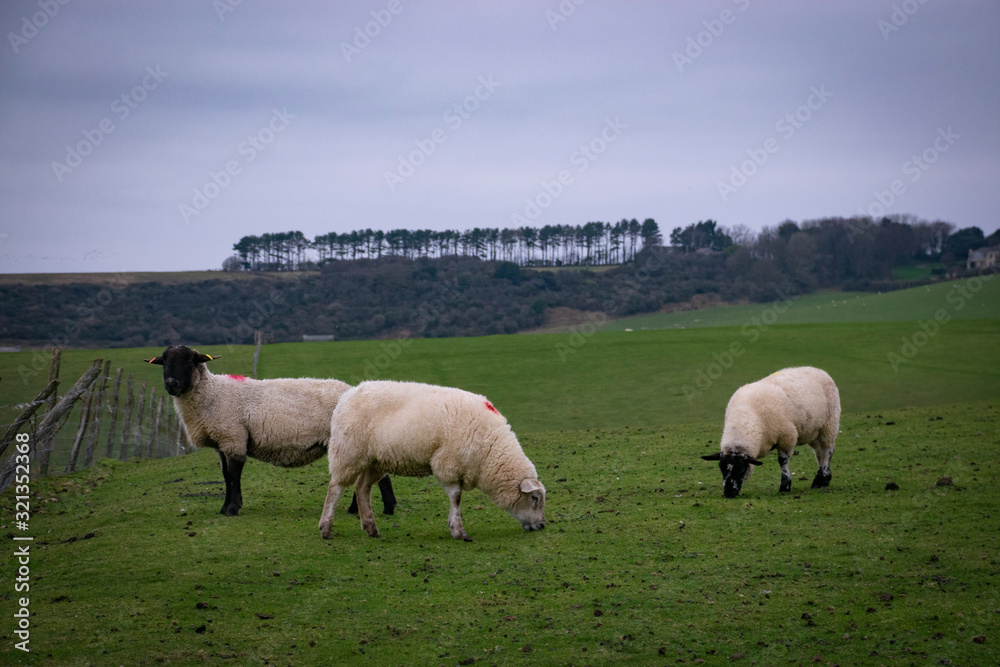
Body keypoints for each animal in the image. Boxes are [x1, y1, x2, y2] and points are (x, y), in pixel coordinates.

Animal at [145, 348, 394, 520]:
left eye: (189, 360)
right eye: (164, 362)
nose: (171, 383)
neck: (213, 394)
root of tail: (357, 393)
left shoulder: (233, 438)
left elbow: (233, 475)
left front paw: (232, 508)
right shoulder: (223, 443)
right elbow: (226, 476)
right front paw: (227, 507)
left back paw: (382, 508)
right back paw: (363, 508)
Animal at [318, 380, 548, 544]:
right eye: (534, 498)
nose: (542, 526)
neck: (489, 447)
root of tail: (347, 395)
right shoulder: (448, 464)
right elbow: (456, 497)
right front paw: (458, 531)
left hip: (376, 461)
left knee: (362, 488)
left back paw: (370, 528)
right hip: (348, 452)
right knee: (335, 487)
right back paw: (326, 528)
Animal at [700, 368, 840, 498]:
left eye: (741, 470)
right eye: (721, 468)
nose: (728, 493)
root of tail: (819, 370)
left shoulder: (786, 437)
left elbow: (783, 461)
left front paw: (785, 486)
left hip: (829, 425)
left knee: (827, 451)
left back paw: (822, 479)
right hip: (813, 432)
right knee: (819, 453)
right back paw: (822, 479)